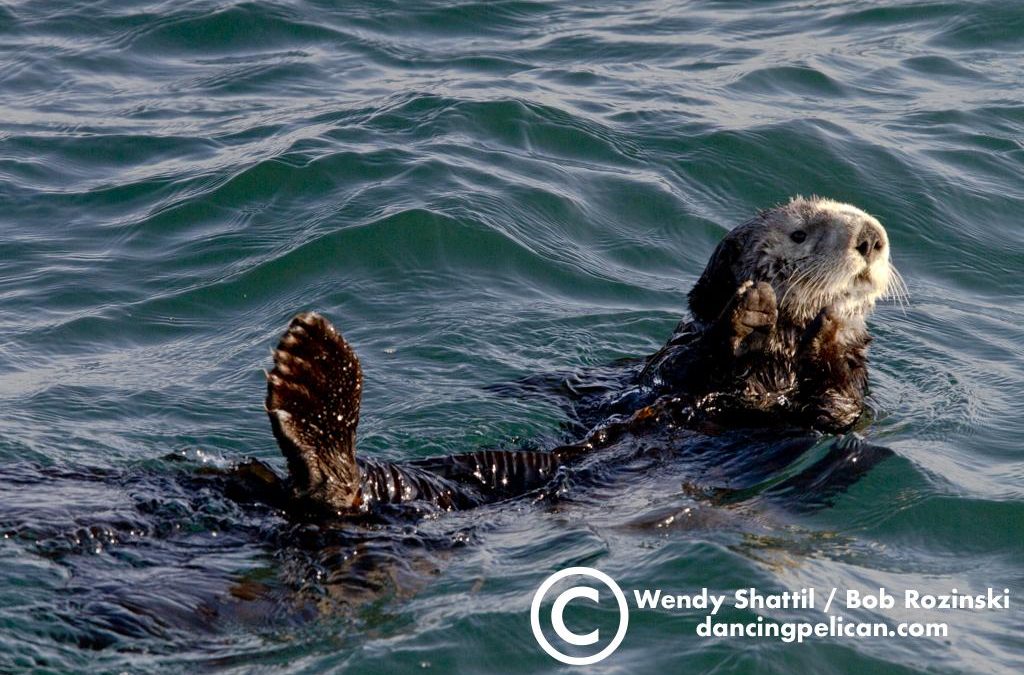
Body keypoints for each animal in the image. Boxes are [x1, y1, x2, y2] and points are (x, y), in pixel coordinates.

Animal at [249, 197, 905, 520]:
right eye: (799, 234)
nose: (872, 238)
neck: (777, 368)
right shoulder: (673, 362)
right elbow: (693, 358)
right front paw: (751, 310)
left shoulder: (834, 409)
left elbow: (838, 405)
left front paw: (834, 334)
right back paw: (313, 377)